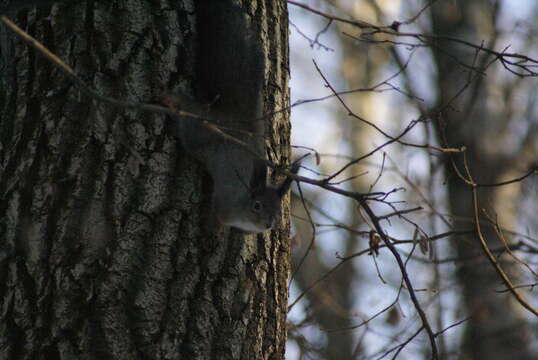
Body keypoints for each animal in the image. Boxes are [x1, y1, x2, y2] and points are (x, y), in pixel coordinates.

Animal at [171, 0, 294, 233]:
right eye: (257, 205)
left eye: (279, 211)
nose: (268, 224)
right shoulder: (224, 202)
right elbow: (216, 214)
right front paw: (213, 229)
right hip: (197, 133)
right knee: (187, 112)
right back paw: (171, 99)